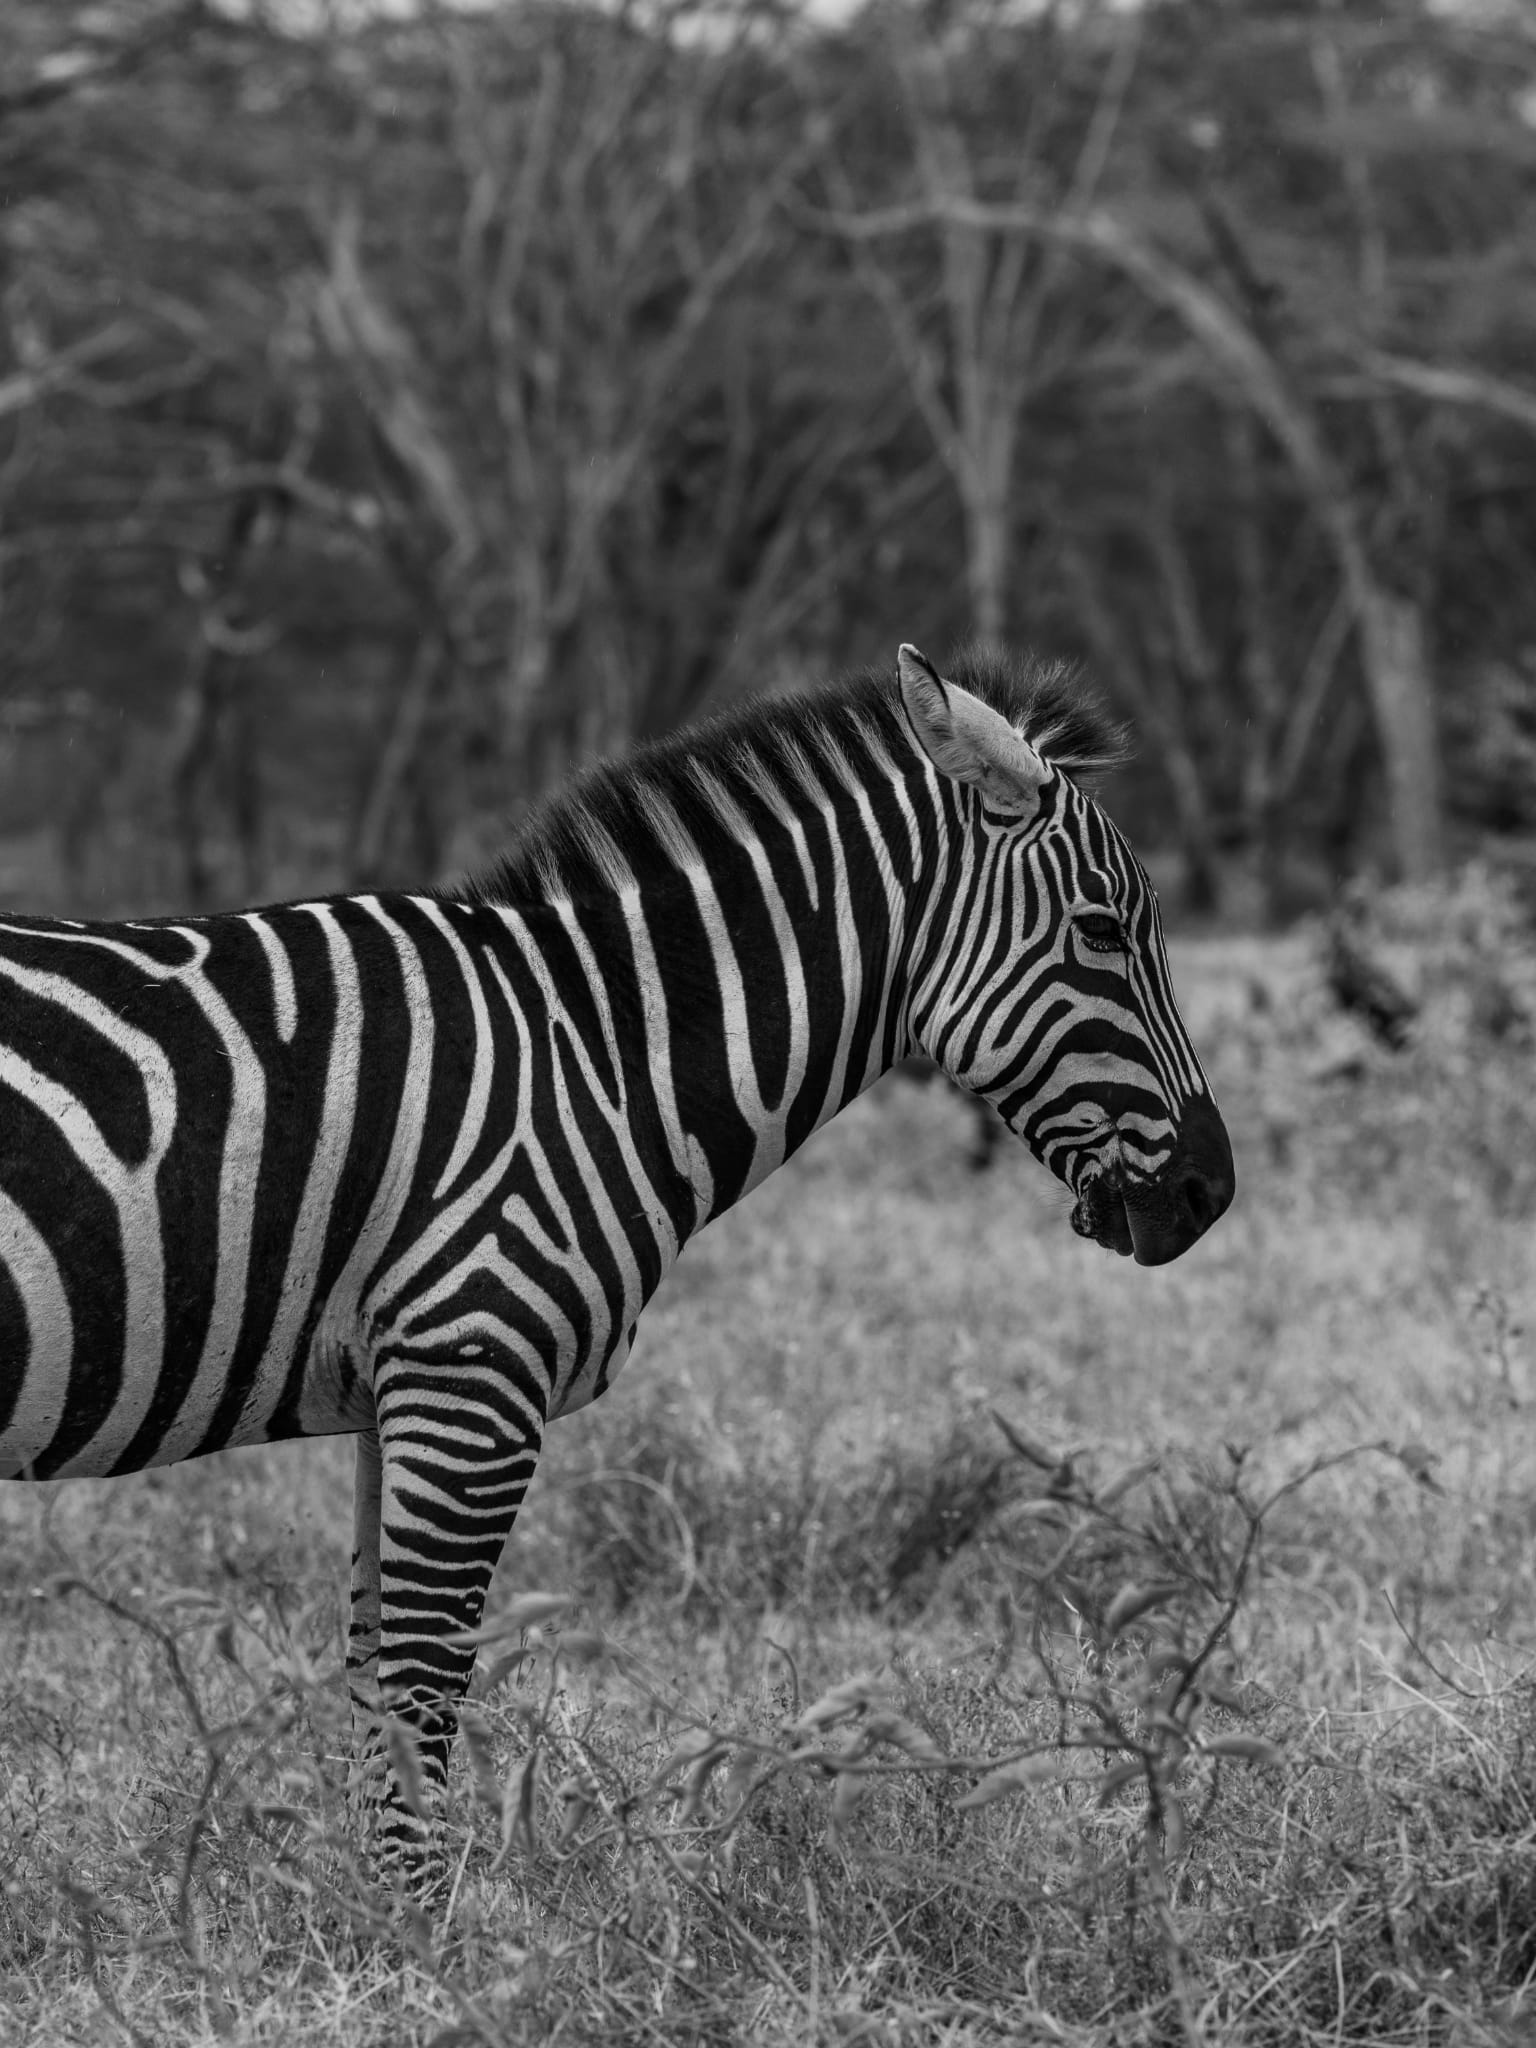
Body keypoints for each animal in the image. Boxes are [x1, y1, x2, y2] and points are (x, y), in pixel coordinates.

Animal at [0, 643, 1233, 1875]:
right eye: (1103, 930)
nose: (1208, 1194)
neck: (589, 1052)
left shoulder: (393, 1390)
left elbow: (374, 1703)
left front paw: (363, 1918)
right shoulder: (474, 1373)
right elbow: (421, 1702)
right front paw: (425, 1925)